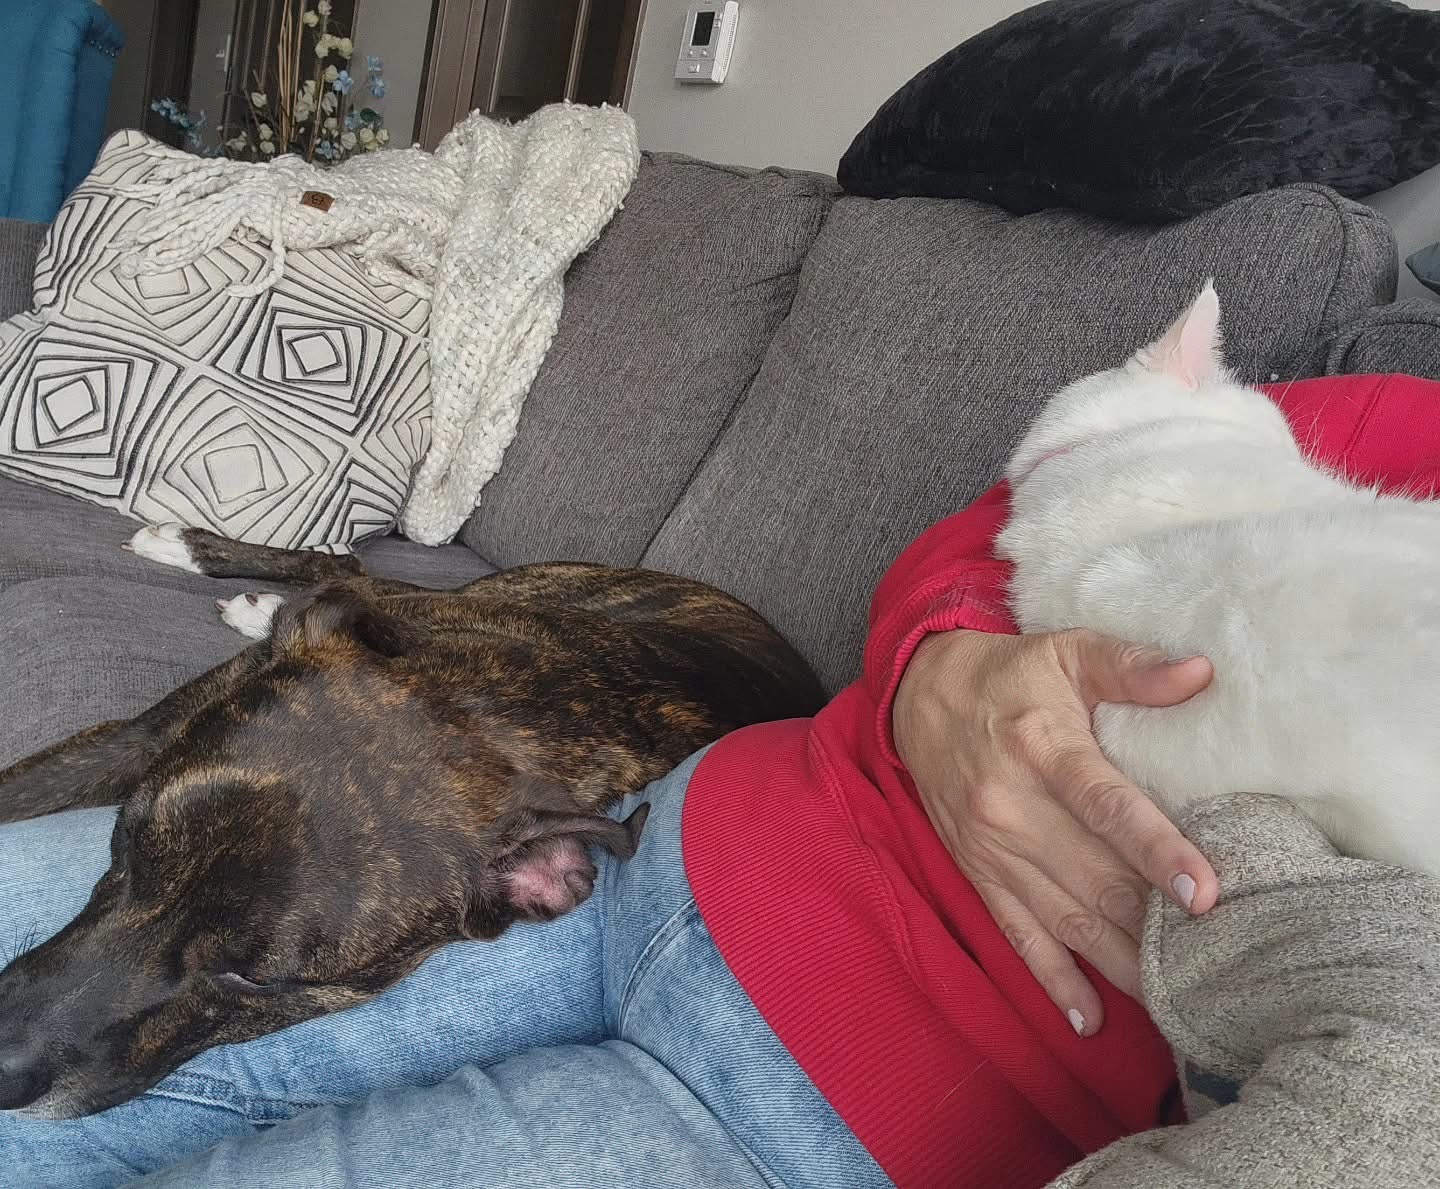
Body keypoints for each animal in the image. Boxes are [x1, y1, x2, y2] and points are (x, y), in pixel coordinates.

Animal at [0, 527, 824, 1119]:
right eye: (128, 840)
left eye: (252, 978)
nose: (3, 1064)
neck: (483, 713)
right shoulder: (134, 740)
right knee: (347, 566)